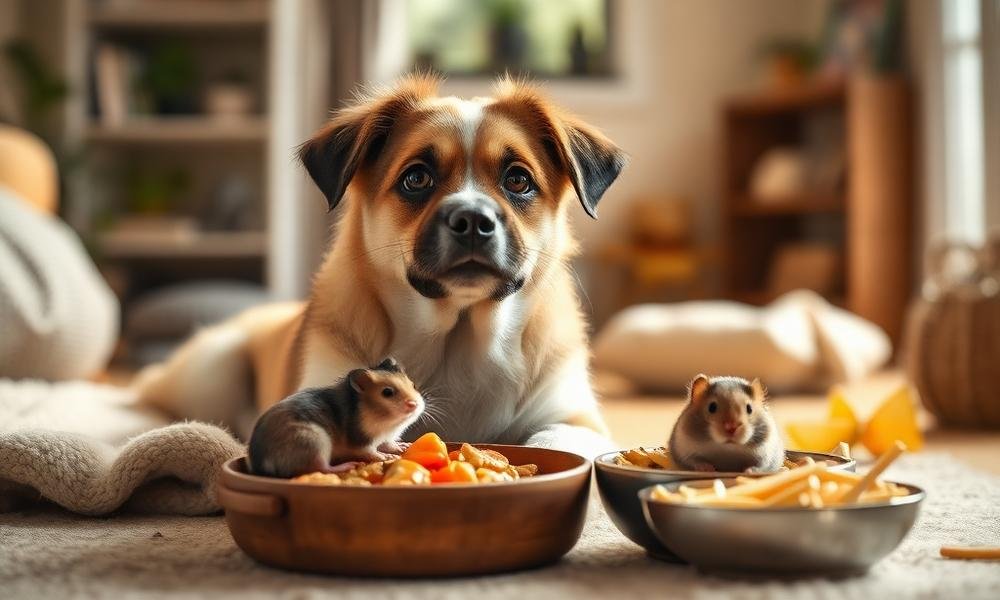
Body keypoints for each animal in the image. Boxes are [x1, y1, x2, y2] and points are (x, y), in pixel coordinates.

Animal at [248, 358, 424, 478]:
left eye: (413, 385)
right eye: (387, 392)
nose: (415, 405)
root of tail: (261, 464)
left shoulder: (387, 438)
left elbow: (390, 444)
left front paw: (404, 446)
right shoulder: (362, 442)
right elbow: (373, 453)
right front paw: (389, 457)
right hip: (316, 441)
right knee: (321, 468)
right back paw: (347, 466)